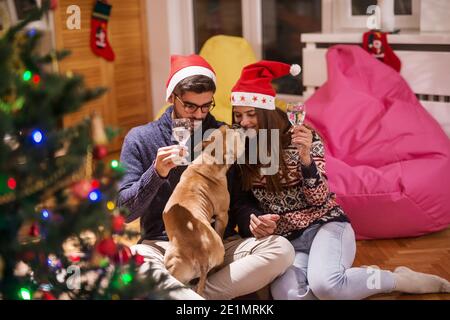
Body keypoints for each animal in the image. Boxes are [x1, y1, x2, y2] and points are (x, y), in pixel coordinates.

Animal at [163, 124, 246, 296]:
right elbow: (221, 230)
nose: (238, 125)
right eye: (239, 138)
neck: (208, 161)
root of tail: (201, 257)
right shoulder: (222, 215)